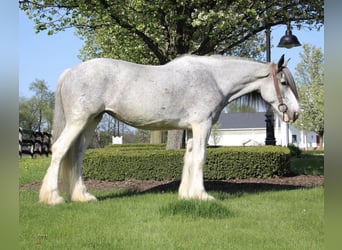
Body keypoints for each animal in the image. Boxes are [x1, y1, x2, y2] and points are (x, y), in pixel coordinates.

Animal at [39, 54, 300, 205]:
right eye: (283, 82)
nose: (296, 112)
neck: (213, 78)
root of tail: (71, 72)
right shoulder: (202, 124)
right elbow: (200, 158)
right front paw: (203, 196)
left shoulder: (193, 129)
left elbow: (189, 157)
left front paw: (187, 195)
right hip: (79, 120)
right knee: (60, 150)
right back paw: (53, 198)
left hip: (91, 120)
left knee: (76, 155)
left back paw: (82, 196)